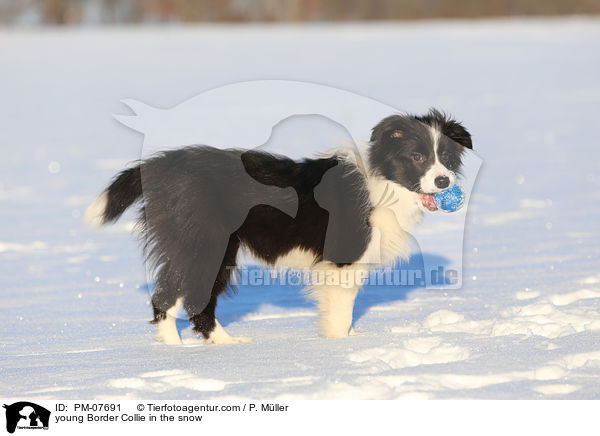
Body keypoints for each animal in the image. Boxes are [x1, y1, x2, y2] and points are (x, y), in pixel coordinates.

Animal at [85, 109, 468, 344]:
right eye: (417, 157)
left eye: (447, 158)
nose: (445, 181)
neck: (385, 182)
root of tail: (162, 165)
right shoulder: (343, 261)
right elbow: (341, 311)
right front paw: (341, 349)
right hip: (204, 242)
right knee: (178, 296)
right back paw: (197, 347)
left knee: (184, 296)